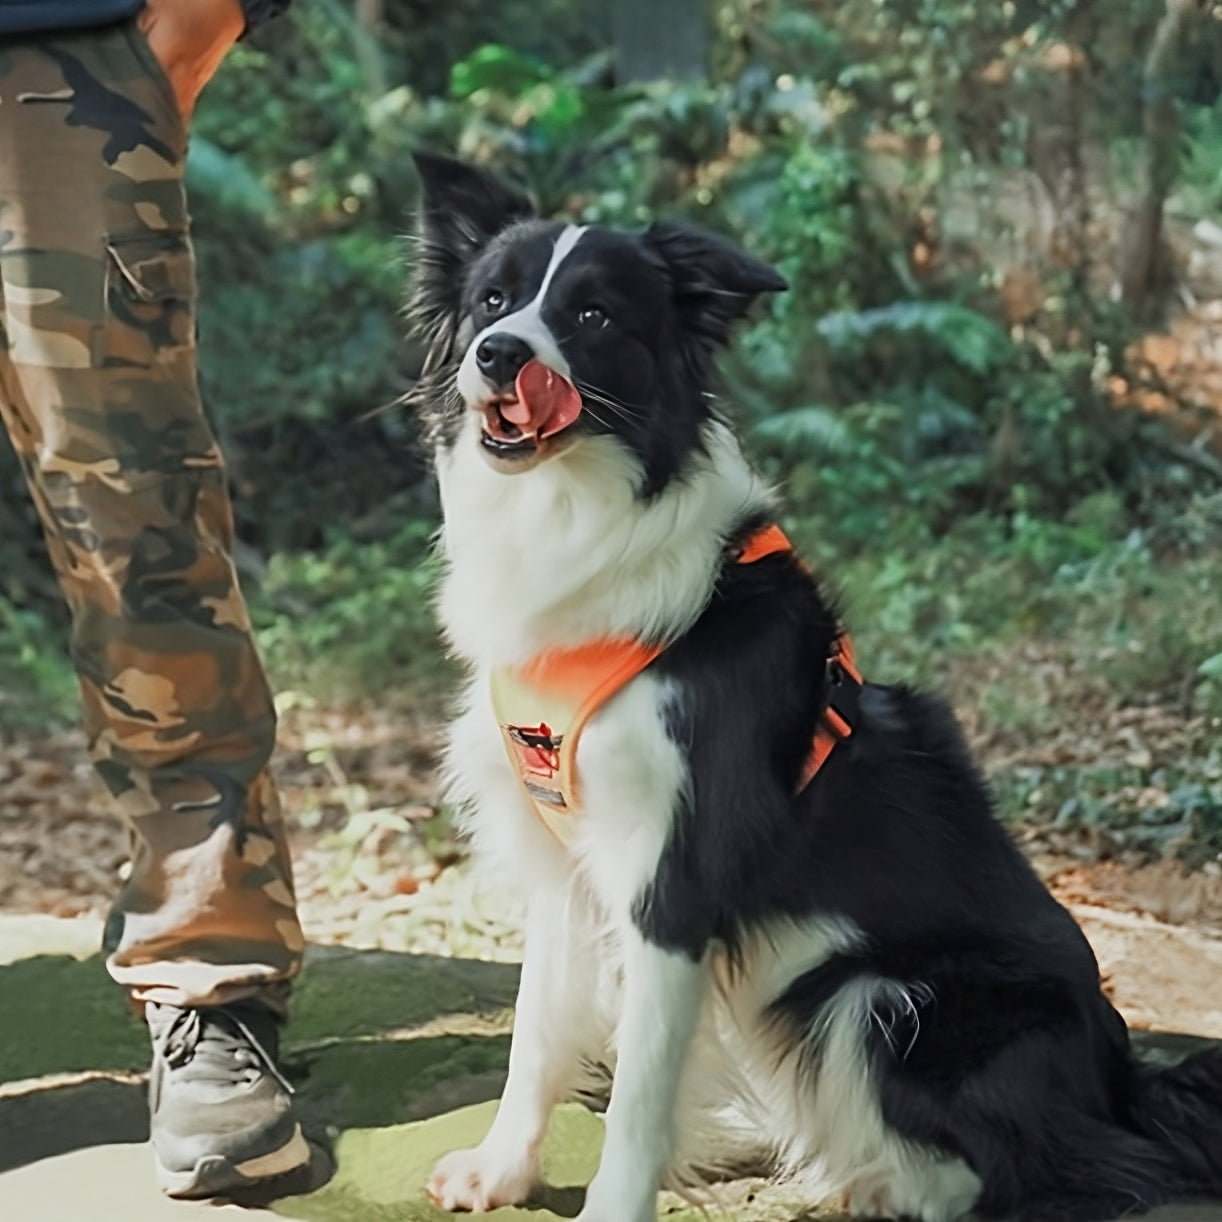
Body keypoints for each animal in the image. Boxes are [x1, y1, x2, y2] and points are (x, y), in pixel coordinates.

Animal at [408, 155, 1222, 1222]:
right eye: (492, 301)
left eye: (592, 316)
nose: (501, 355)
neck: (579, 520)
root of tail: (1121, 1082)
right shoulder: (564, 866)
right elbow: (535, 1032)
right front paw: (502, 1169)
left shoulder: (672, 881)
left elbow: (639, 1094)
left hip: (878, 998)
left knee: (1048, 1170)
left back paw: (879, 1185)